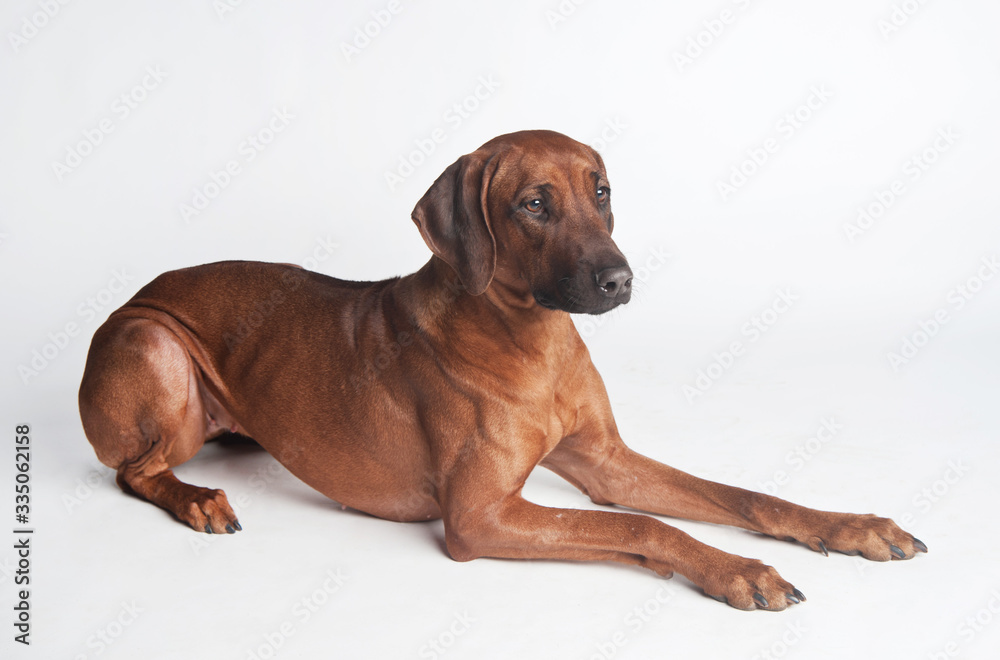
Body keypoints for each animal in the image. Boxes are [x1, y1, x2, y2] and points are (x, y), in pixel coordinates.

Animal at [80, 131, 928, 612]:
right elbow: (642, 525)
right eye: (532, 204)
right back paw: (197, 499)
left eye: (601, 192)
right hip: (153, 343)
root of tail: (135, 294)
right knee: (134, 471)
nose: (621, 280)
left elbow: (745, 496)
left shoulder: (606, 462)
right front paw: (734, 570)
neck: (535, 340)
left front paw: (851, 526)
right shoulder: (480, 517)